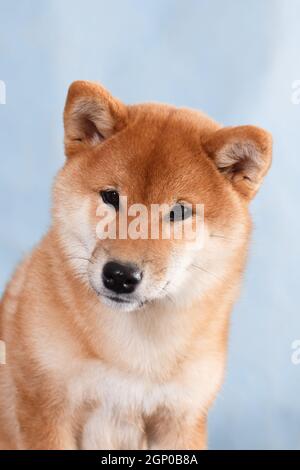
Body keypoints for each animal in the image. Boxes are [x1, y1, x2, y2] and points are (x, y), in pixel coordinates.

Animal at [0, 81, 272, 448]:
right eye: (111, 197)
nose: (120, 275)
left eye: (179, 211)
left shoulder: (180, 420)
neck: (134, 354)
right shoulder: (45, 409)